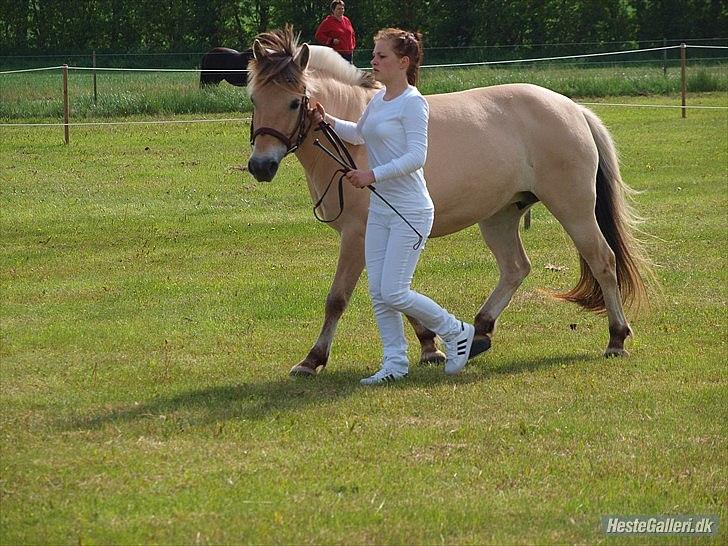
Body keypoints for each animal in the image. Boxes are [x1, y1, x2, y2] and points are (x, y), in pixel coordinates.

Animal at [247, 25, 652, 374]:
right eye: (254, 99)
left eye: (295, 103)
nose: (260, 166)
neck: (353, 139)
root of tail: (573, 109)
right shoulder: (379, 237)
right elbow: (394, 291)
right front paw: (430, 347)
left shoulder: (357, 237)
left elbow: (339, 299)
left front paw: (312, 360)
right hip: (500, 216)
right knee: (516, 268)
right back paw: (480, 330)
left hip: (574, 210)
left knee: (603, 261)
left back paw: (616, 338)